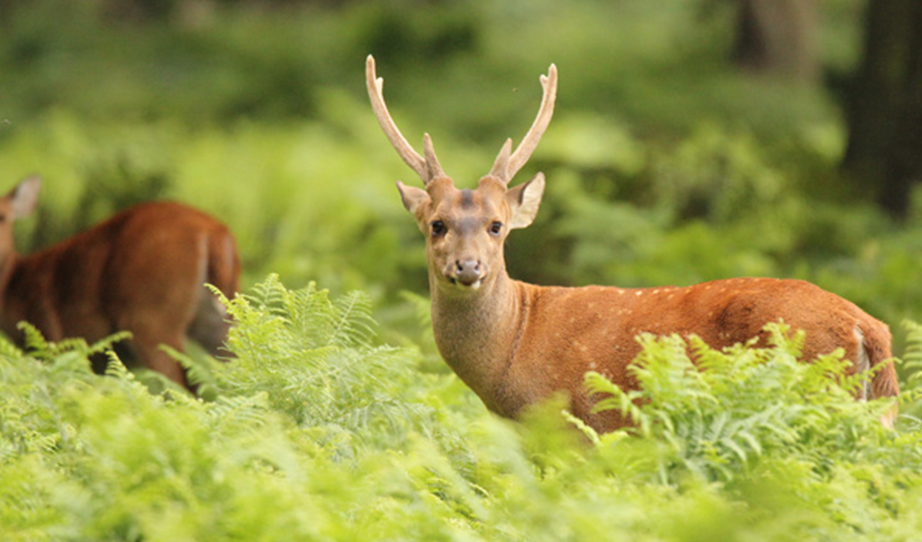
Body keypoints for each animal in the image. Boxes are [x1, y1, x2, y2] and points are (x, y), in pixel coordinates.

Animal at [0, 176, 241, 388]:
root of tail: (215, 232)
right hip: (217, 318)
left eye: (3, 216)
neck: (16, 283)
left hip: (151, 318)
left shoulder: (51, 338)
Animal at [366, 55, 900, 434]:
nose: (468, 266)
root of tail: (870, 329)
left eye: (497, 225)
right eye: (437, 224)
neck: (512, 351)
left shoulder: (583, 427)